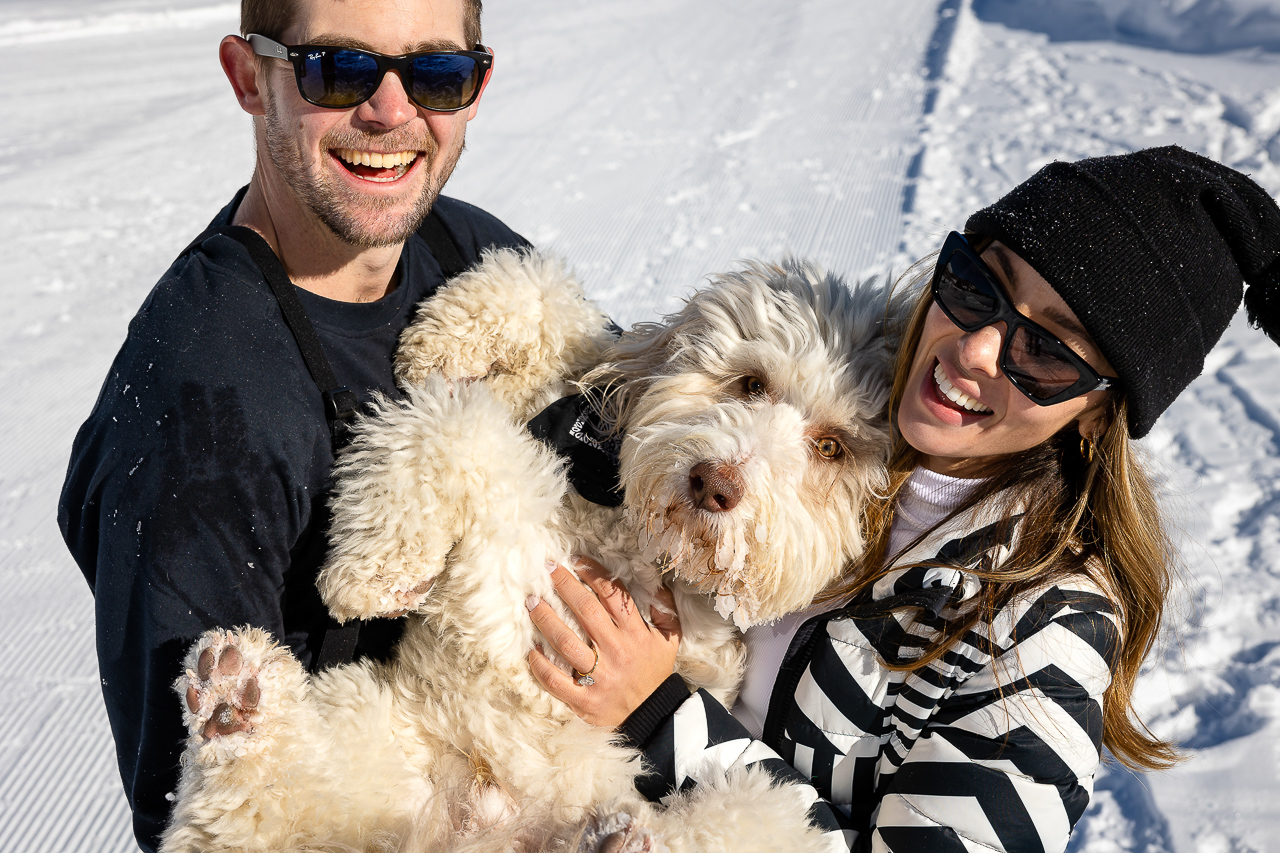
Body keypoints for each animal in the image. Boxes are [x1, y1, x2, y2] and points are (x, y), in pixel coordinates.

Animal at [157, 247, 901, 850]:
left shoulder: (533, 592)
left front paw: (367, 574)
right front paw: (442, 344)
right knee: (251, 809)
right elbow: (536, 300)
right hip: (368, 737)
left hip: (764, 807)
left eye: (830, 447)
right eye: (751, 382)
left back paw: (617, 843)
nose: (714, 483)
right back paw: (231, 702)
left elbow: (455, 424)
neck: (619, 521)